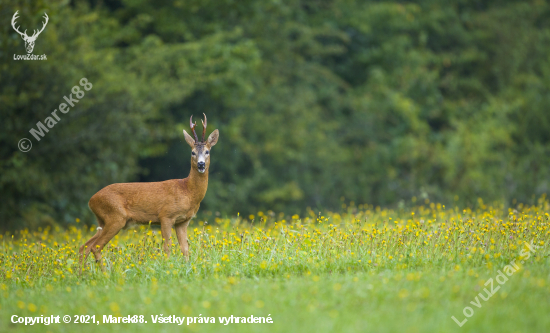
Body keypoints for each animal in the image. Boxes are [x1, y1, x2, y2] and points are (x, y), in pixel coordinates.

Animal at [81, 114, 219, 270]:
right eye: (192, 152)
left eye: (207, 151)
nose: (201, 164)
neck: (187, 191)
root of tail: (91, 200)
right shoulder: (166, 215)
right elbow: (167, 246)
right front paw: (167, 267)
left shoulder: (183, 221)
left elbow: (185, 248)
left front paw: (187, 267)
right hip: (115, 217)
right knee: (95, 247)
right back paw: (104, 272)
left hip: (103, 220)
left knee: (84, 246)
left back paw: (81, 272)